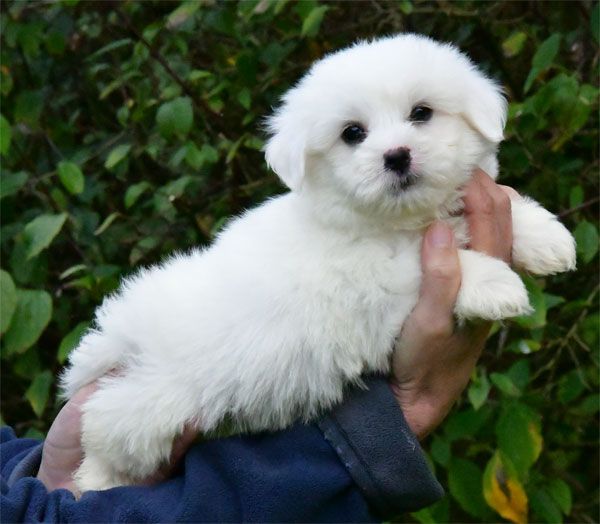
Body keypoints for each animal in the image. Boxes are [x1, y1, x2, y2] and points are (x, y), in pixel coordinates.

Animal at [62, 34, 576, 494]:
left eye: (421, 113)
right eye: (353, 134)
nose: (396, 156)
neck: (392, 222)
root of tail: (122, 327)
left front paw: (548, 237)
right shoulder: (376, 286)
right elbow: (431, 266)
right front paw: (495, 284)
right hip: (155, 403)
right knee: (105, 427)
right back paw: (91, 481)